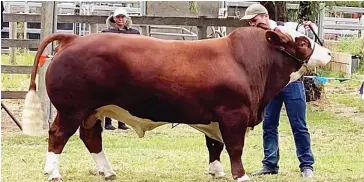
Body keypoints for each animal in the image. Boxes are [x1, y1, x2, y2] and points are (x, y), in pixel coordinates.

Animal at [21, 24, 332, 182]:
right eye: (303, 42)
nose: (329, 53)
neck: (247, 61)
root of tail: (73, 38)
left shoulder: (215, 116)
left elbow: (214, 146)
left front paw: (216, 171)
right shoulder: (233, 114)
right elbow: (235, 147)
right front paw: (240, 176)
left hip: (93, 111)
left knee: (91, 138)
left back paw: (108, 171)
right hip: (71, 109)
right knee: (58, 135)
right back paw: (53, 173)